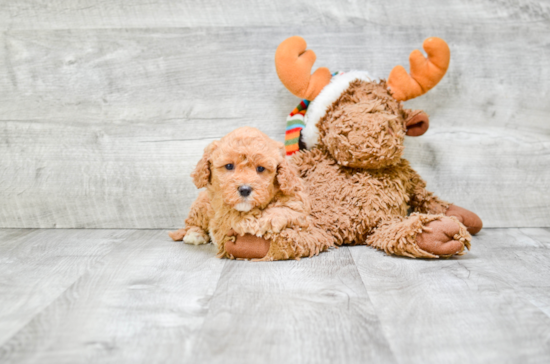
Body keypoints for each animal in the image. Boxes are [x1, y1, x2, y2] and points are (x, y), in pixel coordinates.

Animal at [169, 126, 332, 260]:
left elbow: (285, 210)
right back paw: (194, 234)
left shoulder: (296, 202)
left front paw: (269, 221)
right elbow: (235, 218)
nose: (245, 189)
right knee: (191, 222)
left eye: (260, 169)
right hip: (201, 205)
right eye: (229, 166)